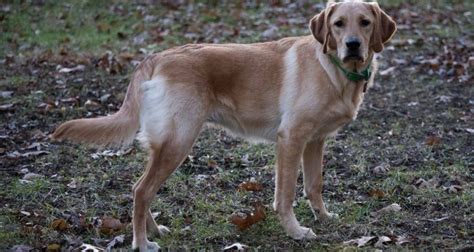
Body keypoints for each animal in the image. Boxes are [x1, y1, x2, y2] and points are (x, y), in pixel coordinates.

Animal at [51, 0, 396, 250]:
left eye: (364, 22)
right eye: (338, 24)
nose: (353, 44)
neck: (334, 70)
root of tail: (157, 57)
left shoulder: (315, 140)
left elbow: (314, 185)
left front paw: (323, 217)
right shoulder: (291, 138)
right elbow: (285, 195)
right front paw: (295, 231)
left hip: (166, 144)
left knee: (141, 188)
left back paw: (154, 230)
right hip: (179, 141)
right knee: (142, 190)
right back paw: (141, 242)